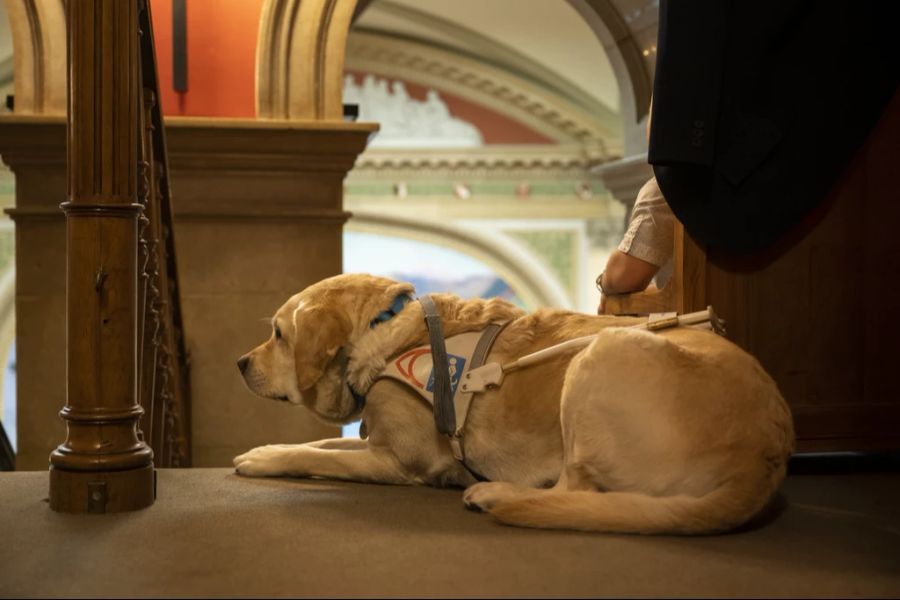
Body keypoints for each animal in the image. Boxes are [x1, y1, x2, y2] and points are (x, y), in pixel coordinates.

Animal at [234, 274, 796, 536]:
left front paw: (266, 459)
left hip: (597, 357)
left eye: (278, 335)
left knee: (574, 489)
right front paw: (263, 447)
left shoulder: (397, 461)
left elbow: (316, 455)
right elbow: (320, 442)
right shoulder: (377, 440)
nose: (239, 362)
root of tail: (766, 450)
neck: (384, 335)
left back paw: (494, 493)